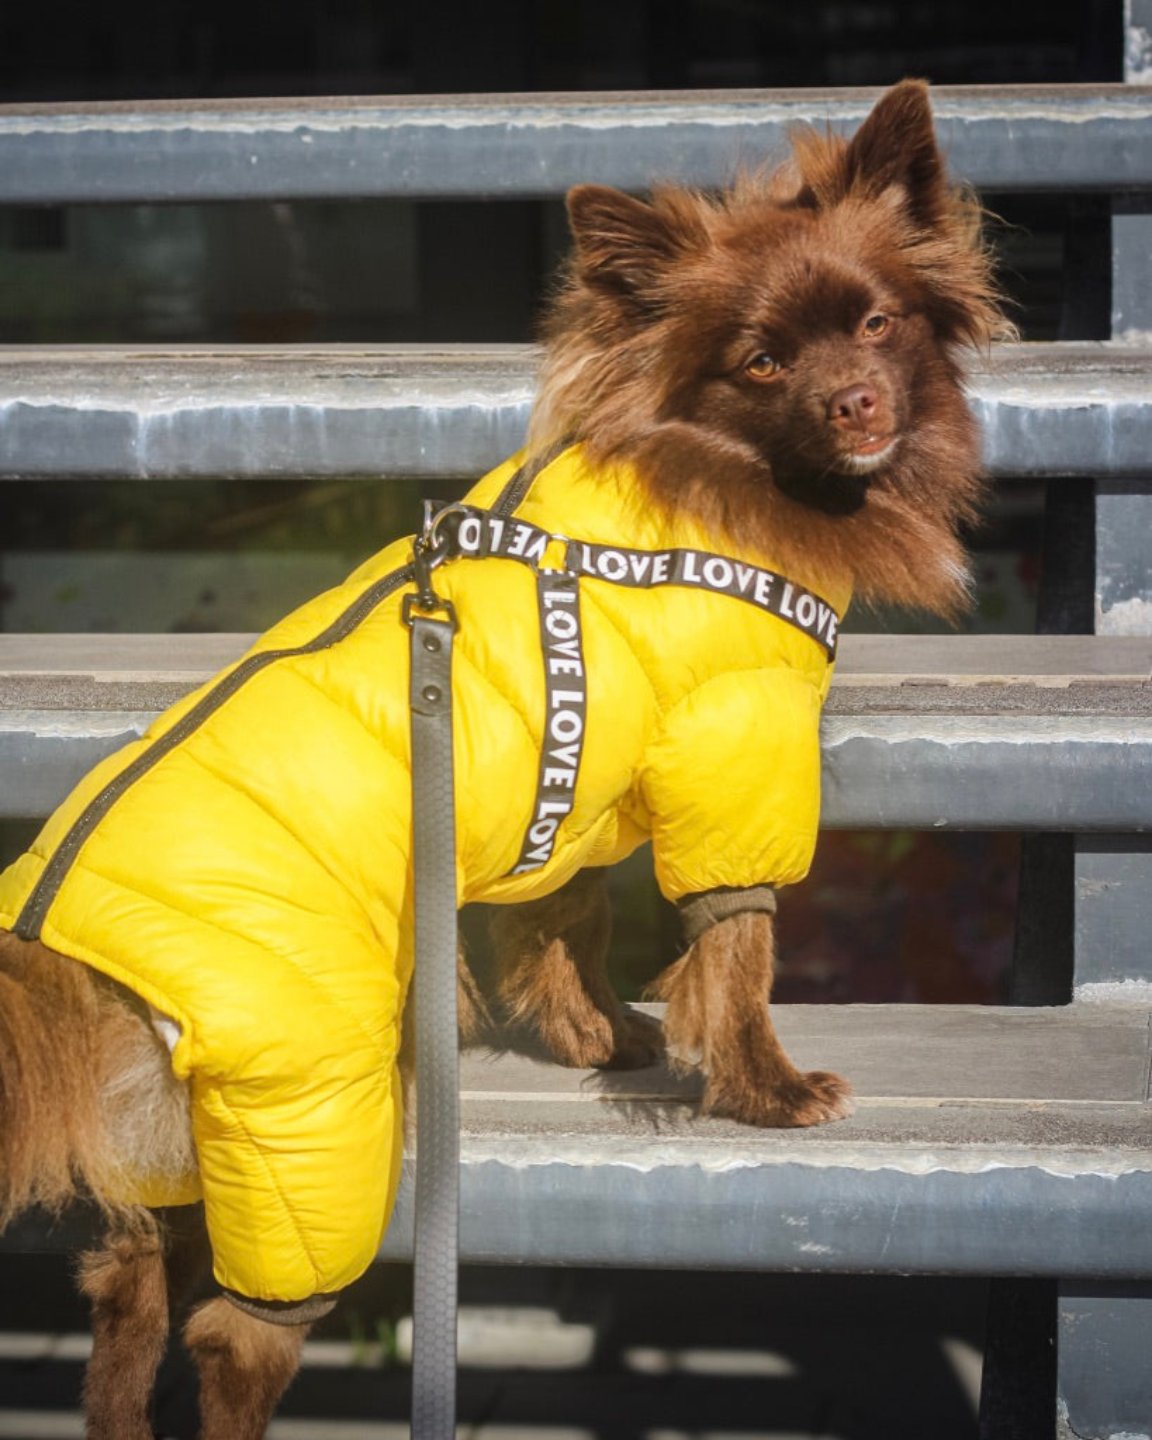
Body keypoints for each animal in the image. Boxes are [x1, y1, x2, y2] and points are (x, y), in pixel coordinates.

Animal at [0, 81, 1008, 1440]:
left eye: (878, 323)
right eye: (762, 362)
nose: (857, 402)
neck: (706, 492)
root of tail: (54, 941)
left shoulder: (572, 791)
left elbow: (564, 921)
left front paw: (605, 1041)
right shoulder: (729, 754)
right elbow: (736, 947)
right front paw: (763, 1087)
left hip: (179, 1138)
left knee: (128, 1297)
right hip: (311, 1110)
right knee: (232, 1335)